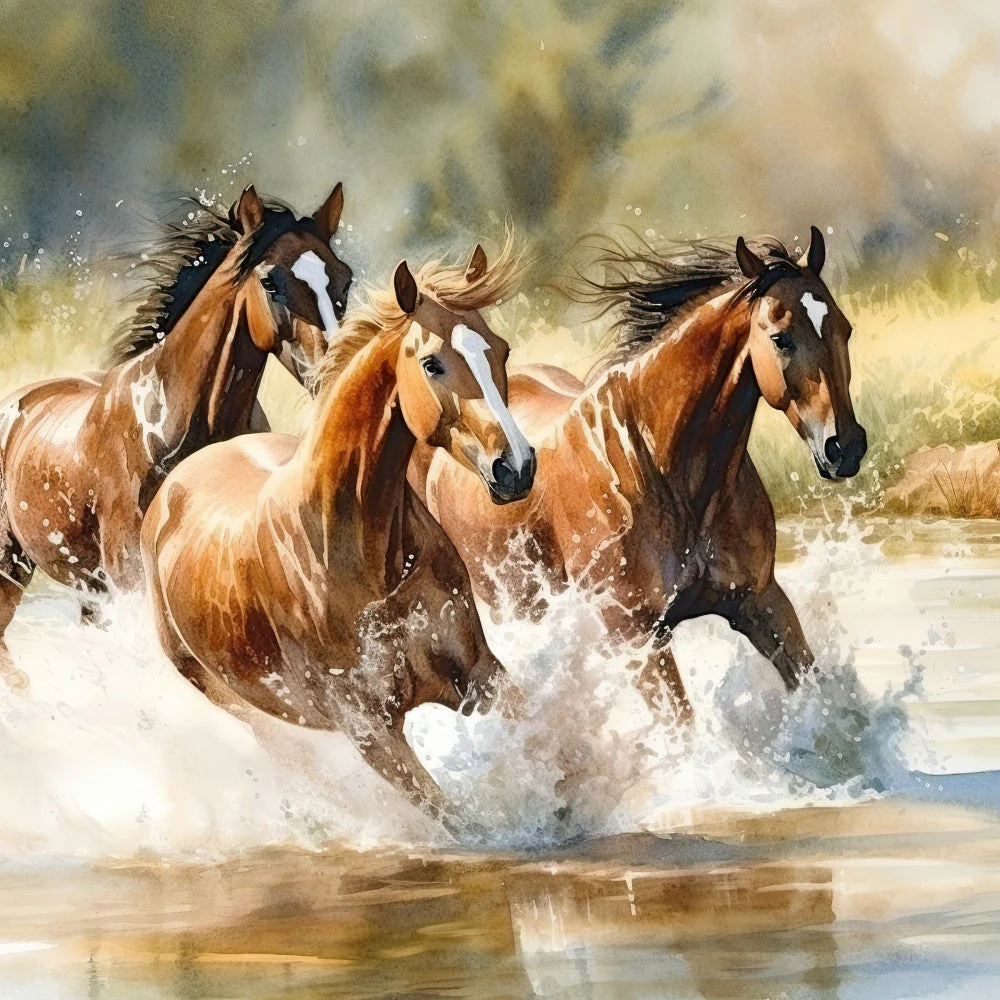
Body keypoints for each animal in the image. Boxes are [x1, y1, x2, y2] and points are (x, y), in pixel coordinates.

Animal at [140, 242, 536, 831]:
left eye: (501, 351)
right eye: (432, 362)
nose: (516, 467)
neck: (363, 557)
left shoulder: (478, 675)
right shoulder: (370, 731)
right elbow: (458, 820)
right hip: (255, 714)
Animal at [413, 227, 867, 722]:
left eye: (845, 329)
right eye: (781, 338)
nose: (846, 447)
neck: (660, 469)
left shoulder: (762, 601)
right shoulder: (636, 640)